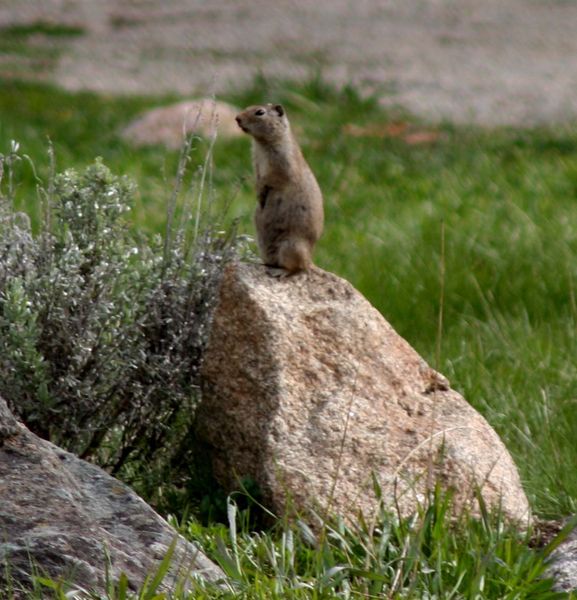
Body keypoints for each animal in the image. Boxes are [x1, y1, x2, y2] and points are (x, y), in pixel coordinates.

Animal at [235, 102, 324, 274]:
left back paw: (280, 272)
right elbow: (257, 176)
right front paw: (258, 195)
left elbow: (272, 178)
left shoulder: (282, 162)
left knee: (298, 267)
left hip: (291, 245)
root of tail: (310, 260)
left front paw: (261, 193)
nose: (237, 118)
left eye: (260, 112)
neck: (262, 143)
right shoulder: (256, 161)